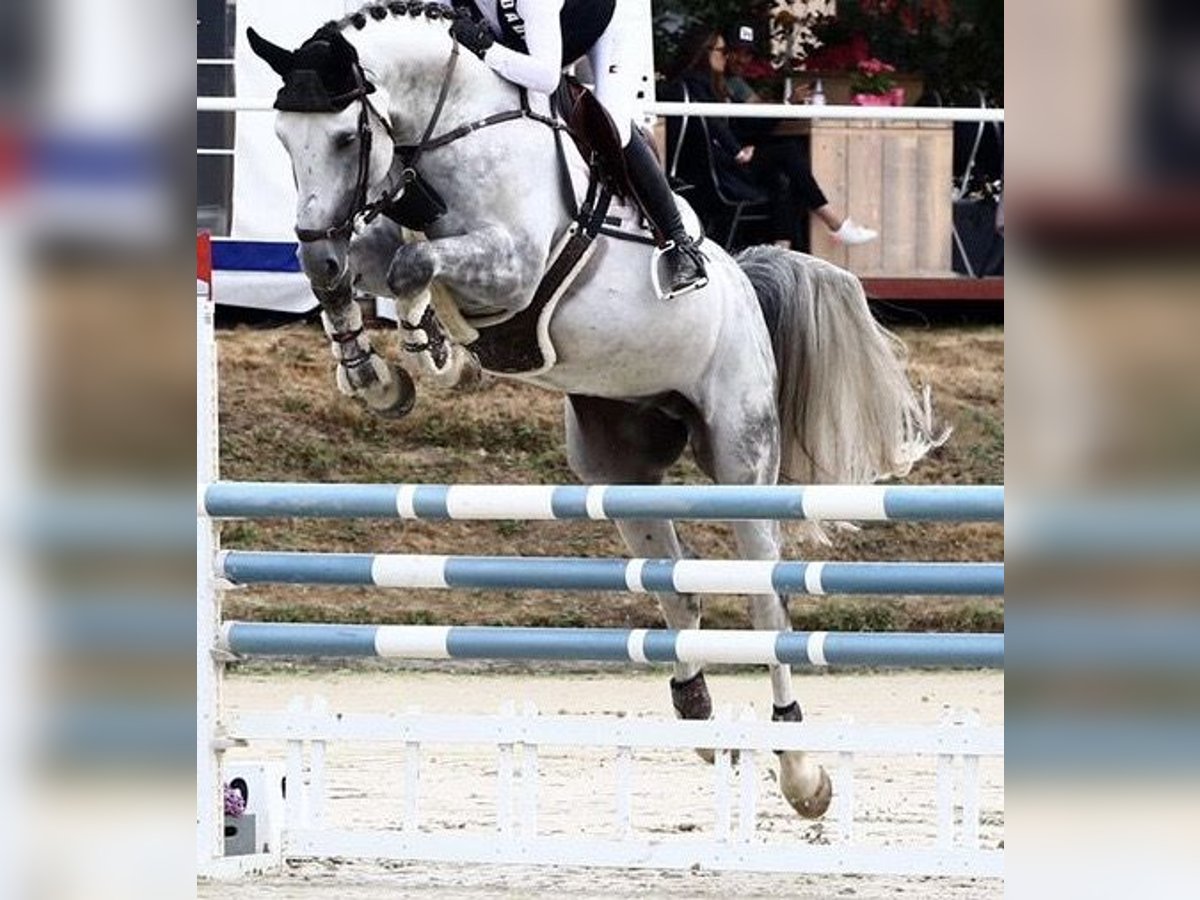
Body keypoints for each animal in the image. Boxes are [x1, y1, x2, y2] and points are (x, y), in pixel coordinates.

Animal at [253, 1, 940, 816]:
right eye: (280, 139)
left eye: (345, 137)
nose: (316, 248)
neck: (445, 131)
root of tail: (745, 281)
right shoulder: (382, 234)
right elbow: (374, 267)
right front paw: (377, 373)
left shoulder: (513, 266)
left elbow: (416, 264)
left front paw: (429, 352)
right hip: (621, 467)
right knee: (678, 592)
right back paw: (699, 718)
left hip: (742, 455)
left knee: (764, 603)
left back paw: (801, 770)